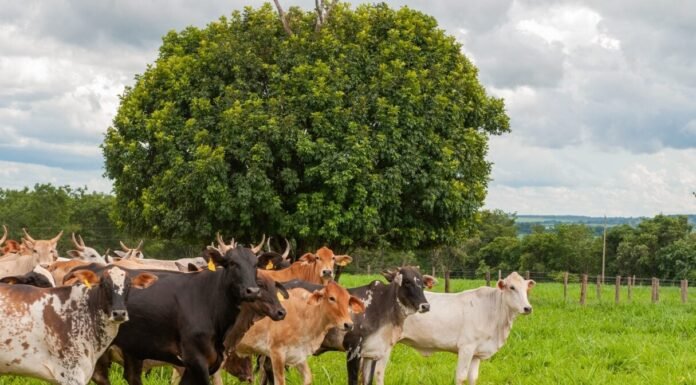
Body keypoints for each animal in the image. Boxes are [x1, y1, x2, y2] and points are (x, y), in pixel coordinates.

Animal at [396, 272, 540, 382]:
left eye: (526, 289)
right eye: (512, 287)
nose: (528, 308)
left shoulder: (476, 353)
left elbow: (473, 378)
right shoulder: (466, 347)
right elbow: (460, 377)